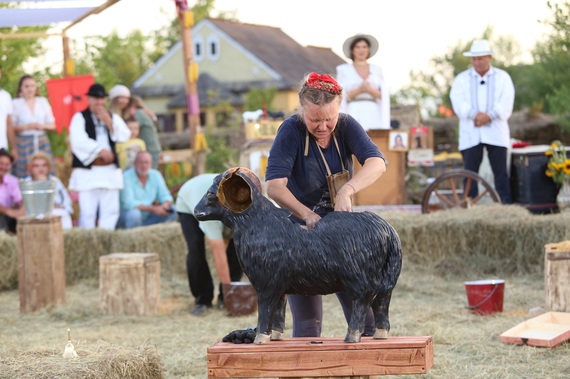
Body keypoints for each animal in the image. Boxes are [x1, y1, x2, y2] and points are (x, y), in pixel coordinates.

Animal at [193, 168, 402, 344]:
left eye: (211, 193)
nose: (196, 211)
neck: (257, 224)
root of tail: (388, 230)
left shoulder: (266, 283)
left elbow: (265, 309)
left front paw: (260, 338)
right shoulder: (280, 286)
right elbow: (278, 309)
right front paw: (275, 336)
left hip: (358, 278)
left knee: (362, 301)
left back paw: (352, 336)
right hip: (384, 278)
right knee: (382, 301)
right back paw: (381, 334)